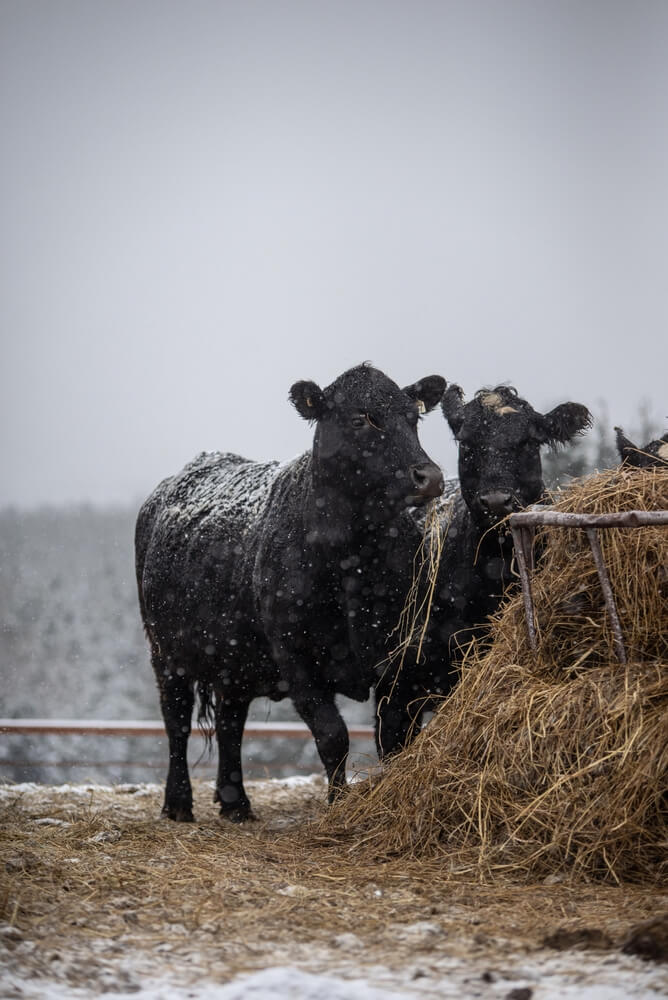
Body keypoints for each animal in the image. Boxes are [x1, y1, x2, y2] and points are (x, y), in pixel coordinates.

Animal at [135, 364, 446, 823]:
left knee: (230, 722)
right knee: (177, 720)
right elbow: (333, 736)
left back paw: (236, 803)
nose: (429, 477)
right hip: (166, 652)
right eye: (361, 418)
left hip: (233, 660)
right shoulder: (298, 660)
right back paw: (177, 803)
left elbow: (394, 738)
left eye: (414, 419)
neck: (352, 561)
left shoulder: (399, 658)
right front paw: (338, 807)